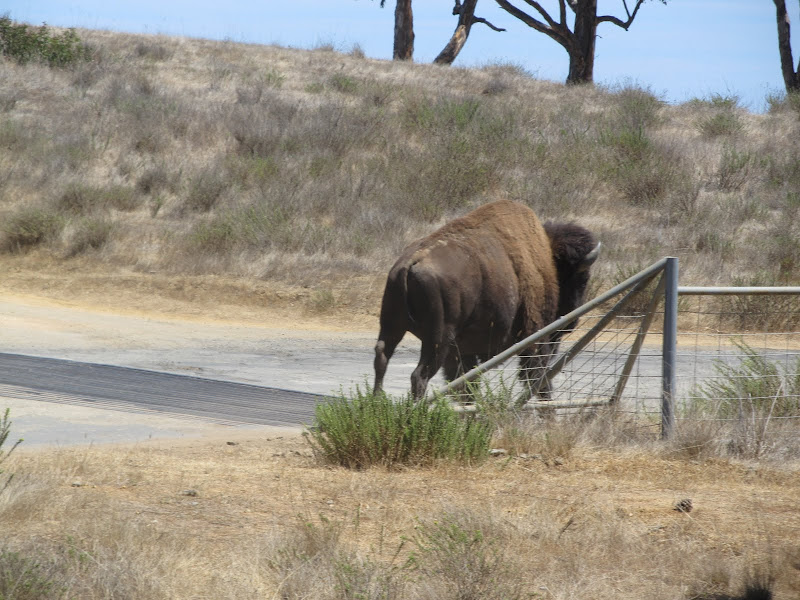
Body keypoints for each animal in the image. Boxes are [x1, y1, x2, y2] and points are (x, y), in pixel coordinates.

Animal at [372, 199, 596, 400]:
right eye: (582, 279)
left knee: (382, 358)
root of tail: (409, 262)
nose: (571, 324)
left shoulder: (463, 351)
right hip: (437, 340)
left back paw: (377, 402)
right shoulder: (535, 335)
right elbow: (538, 376)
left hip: (392, 326)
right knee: (419, 375)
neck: (548, 260)